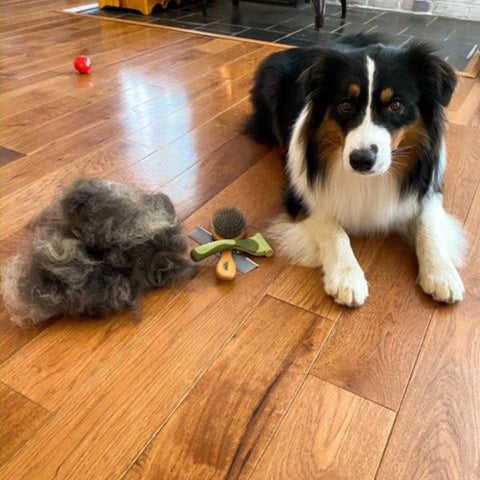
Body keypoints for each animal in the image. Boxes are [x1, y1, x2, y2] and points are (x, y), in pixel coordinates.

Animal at [246, 31, 464, 306]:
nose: (361, 160)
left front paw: (442, 273)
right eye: (346, 105)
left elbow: (429, 224)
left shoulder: (427, 187)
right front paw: (347, 276)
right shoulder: (301, 194)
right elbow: (332, 227)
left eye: (396, 105)